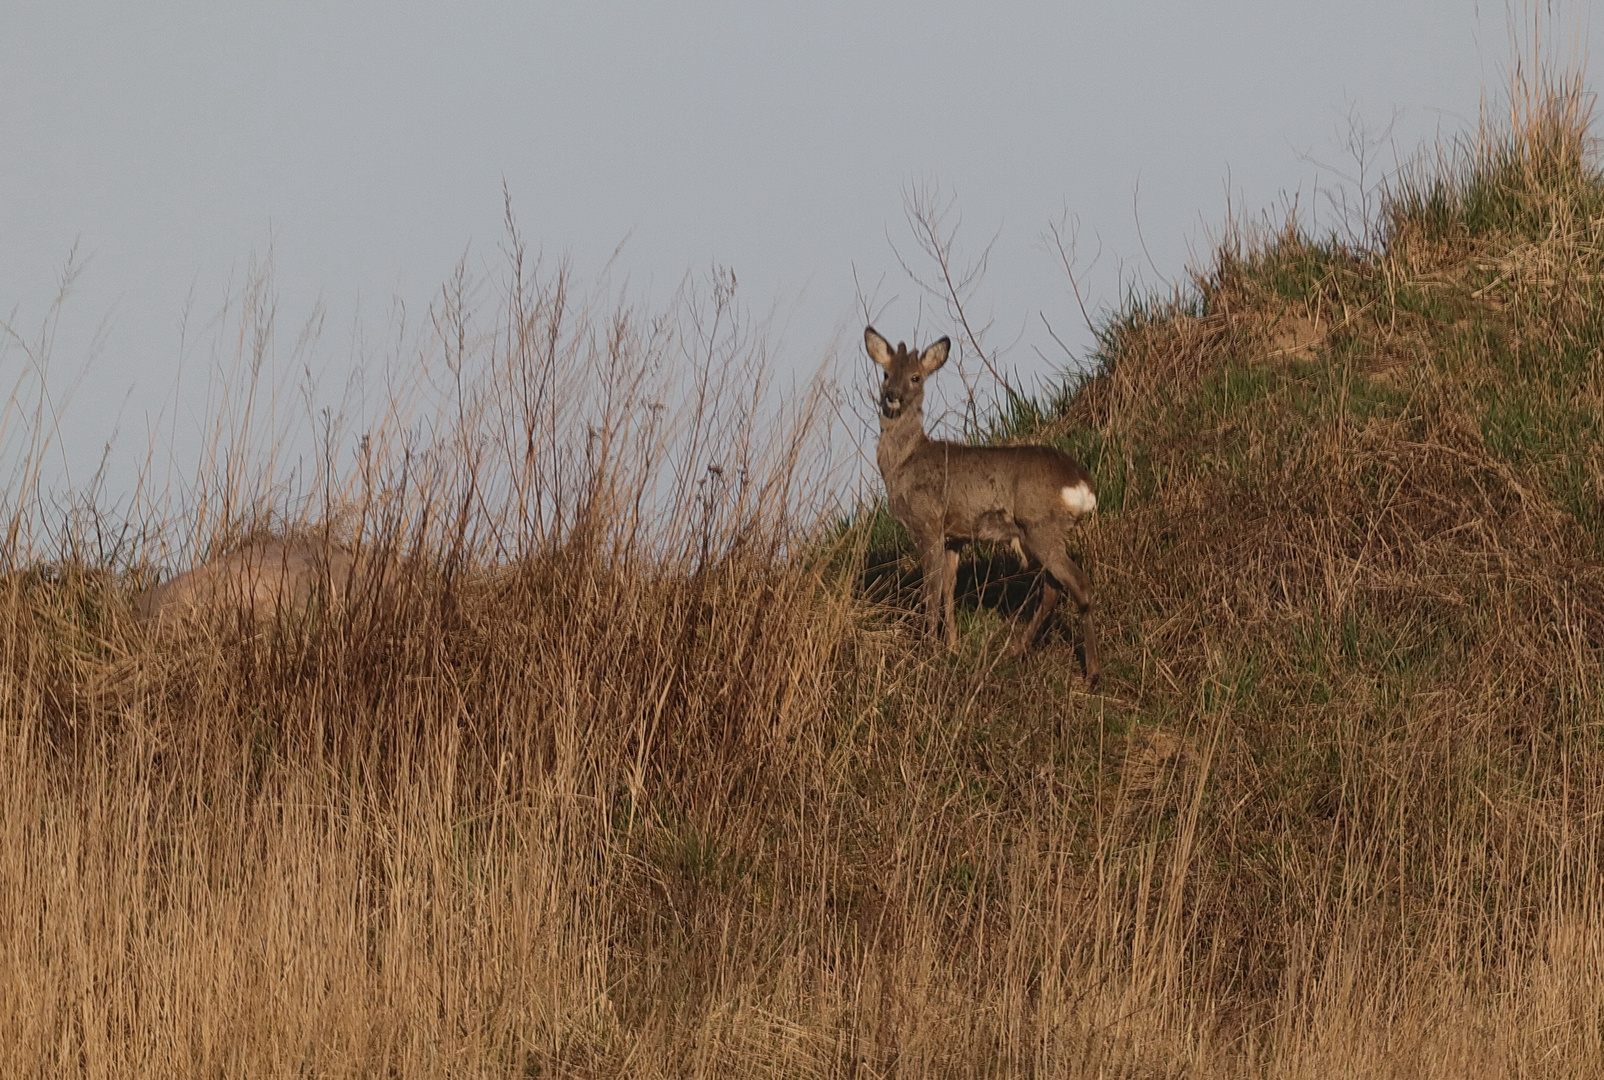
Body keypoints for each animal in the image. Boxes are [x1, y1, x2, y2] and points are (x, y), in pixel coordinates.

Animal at [866, 328, 1103, 677]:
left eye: (915, 377)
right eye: (885, 373)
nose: (892, 396)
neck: (903, 463)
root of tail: (1081, 484)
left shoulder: (926, 524)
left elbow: (931, 590)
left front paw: (929, 653)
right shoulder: (954, 535)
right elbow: (948, 588)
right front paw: (952, 648)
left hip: (1040, 525)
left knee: (1079, 585)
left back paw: (1092, 672)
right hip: (1043, 532)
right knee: (1053, 589)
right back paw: (1016, 651)